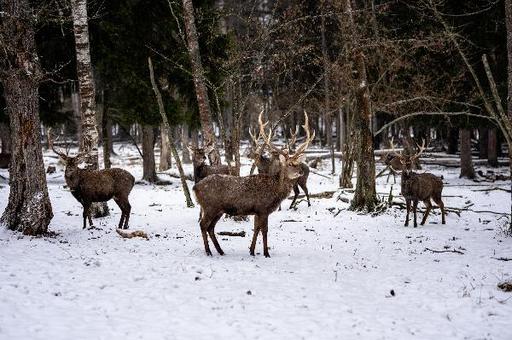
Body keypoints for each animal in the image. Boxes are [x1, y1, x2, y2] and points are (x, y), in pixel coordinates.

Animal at [192, 111, 312, 258]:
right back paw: (209, 251)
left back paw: (220, 251)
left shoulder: (257, 211)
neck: (275, 190)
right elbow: (264, 230)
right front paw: (266, 253)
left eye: (297, 162)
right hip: (210, 206)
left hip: (218, 210)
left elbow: (256, 229)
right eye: (290, 164)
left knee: (210, 227)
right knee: (203, 225)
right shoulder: (263, 208)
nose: (301, 171)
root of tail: (195, 187)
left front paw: (252, 251)